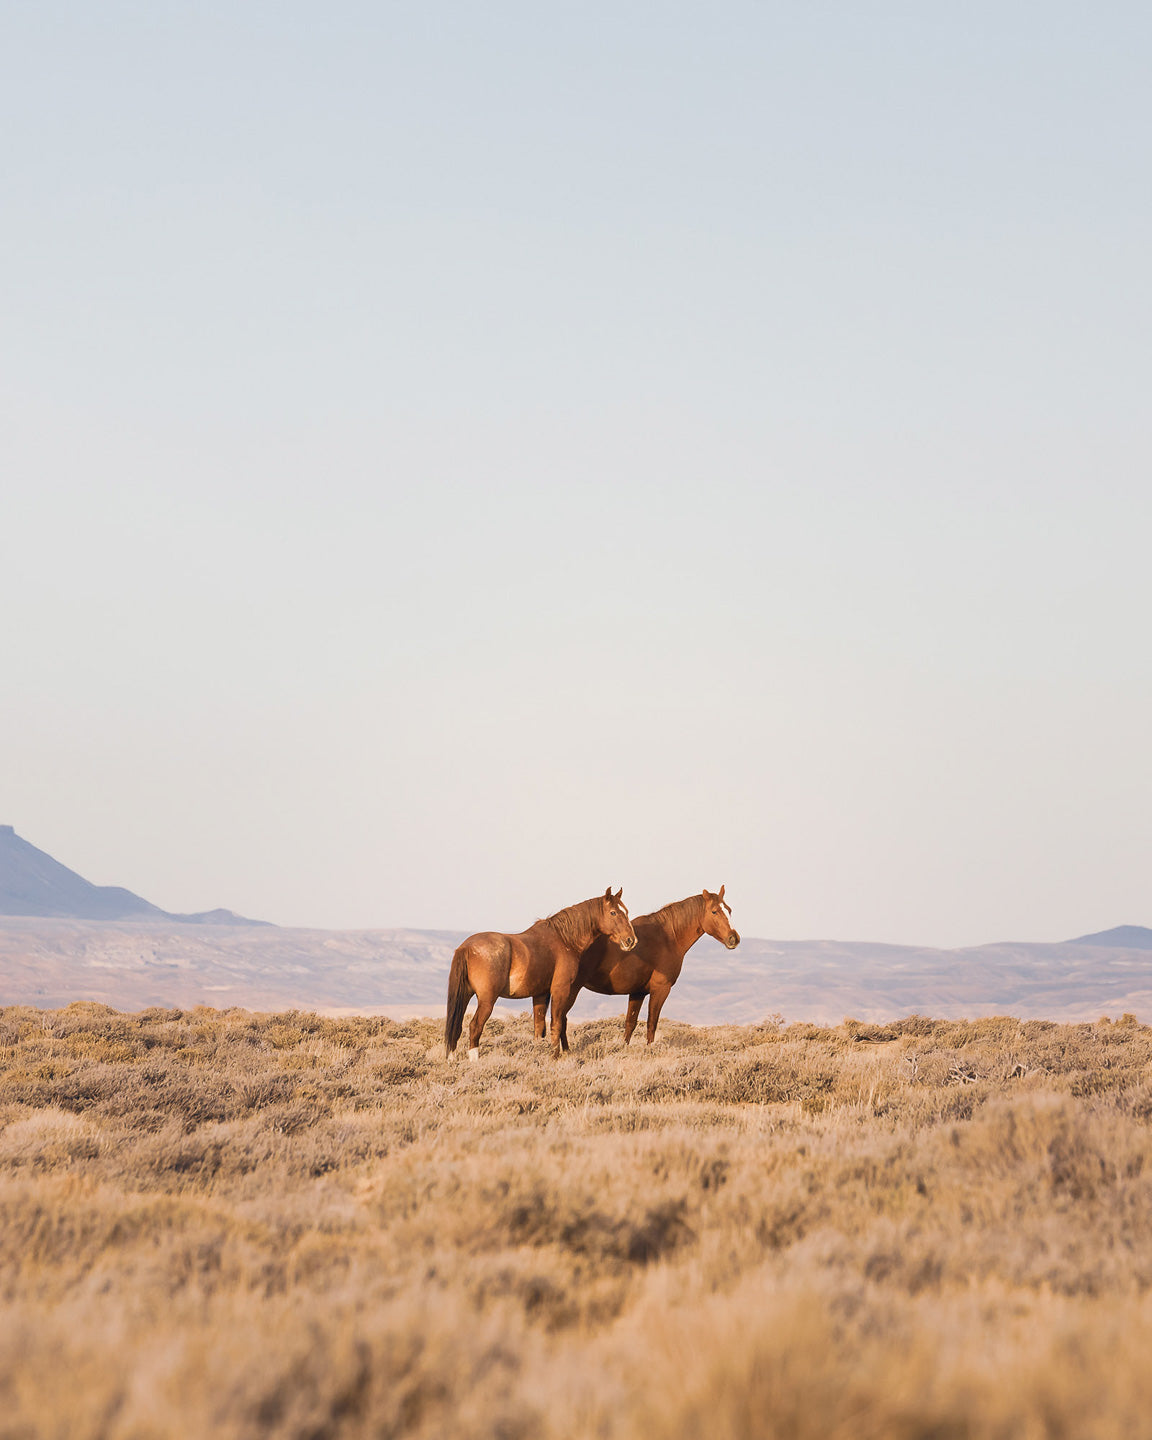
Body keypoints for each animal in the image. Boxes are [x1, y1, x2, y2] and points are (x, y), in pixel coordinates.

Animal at [446, 887, 639, 1059]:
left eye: (626, 911)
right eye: (613, 912)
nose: (631, 940)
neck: (564, 940)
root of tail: (466, 947)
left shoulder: (540, 994)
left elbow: (539, 1028)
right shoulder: (560, 991)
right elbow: (557, 1023)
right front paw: (554, 1056)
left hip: (465, 996)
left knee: (456, 1026)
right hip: (487, 1000)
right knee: (475, 1026)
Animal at [535, 881, 743, 1054]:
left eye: (729, 910)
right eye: (715, 911)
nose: (734, 938)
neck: (668, 938)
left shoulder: (638, 992)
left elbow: (630, 1023)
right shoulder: (660, 989)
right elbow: (651, 1023)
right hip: (571, 989)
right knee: (561, 1019)